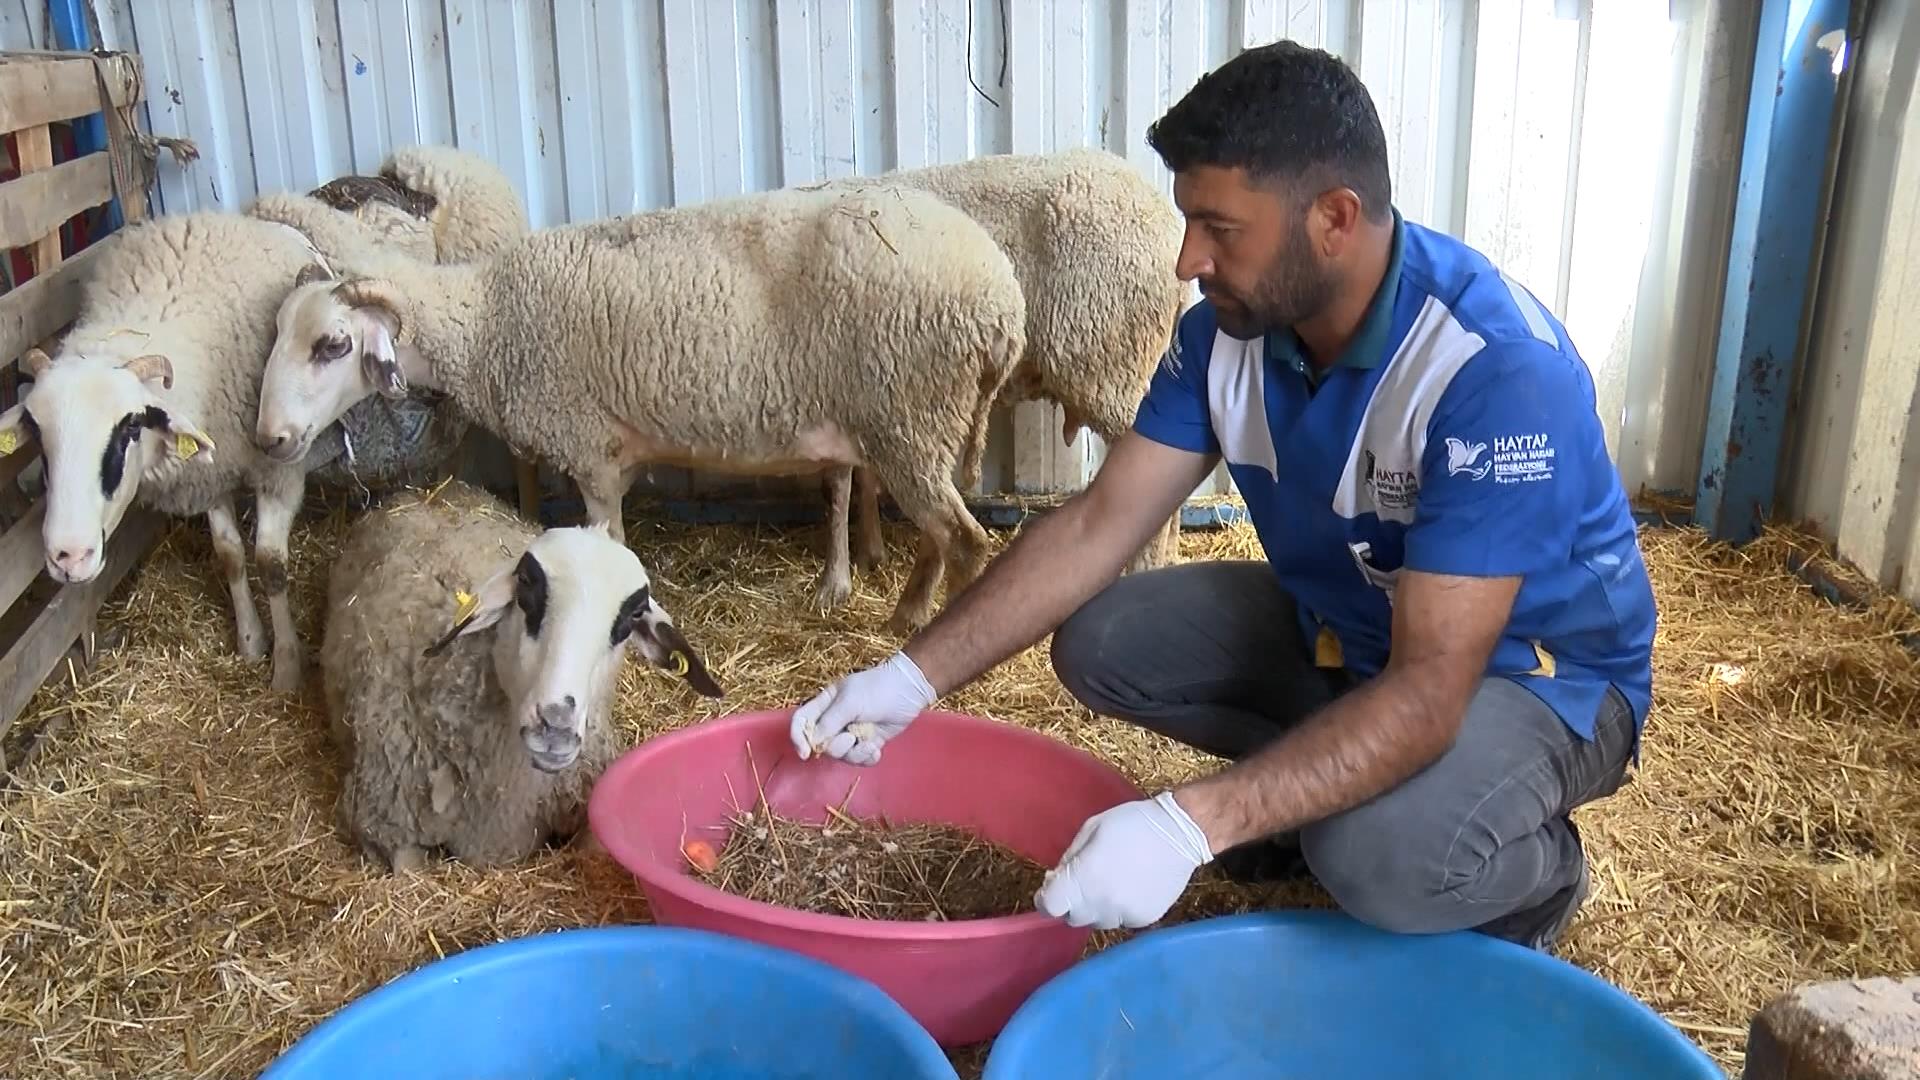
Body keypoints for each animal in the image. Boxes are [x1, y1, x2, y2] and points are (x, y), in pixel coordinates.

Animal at [806, 145, 1182, 588]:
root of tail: (1169, 223)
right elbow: (859, 478)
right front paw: (869, 554)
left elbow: (836, 484)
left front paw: (835, 581)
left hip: (1106, 361)